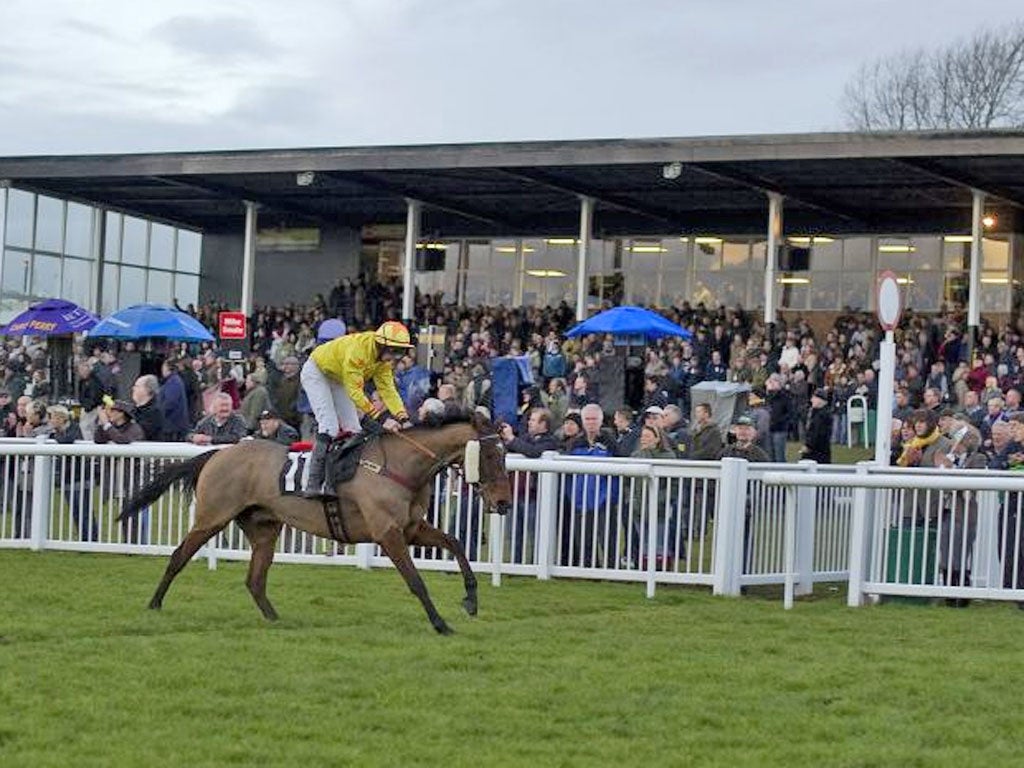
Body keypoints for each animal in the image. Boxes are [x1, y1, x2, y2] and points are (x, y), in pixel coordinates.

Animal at [119, 415, 512, 638]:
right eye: (492, 455)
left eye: (506, 454)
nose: (505, 503)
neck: (400, 466)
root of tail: (219, 453)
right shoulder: (387, 533)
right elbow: (415, 581)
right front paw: (440, 624)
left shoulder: (412, 528)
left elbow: (456, 543)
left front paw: (471, 600)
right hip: (212, 517)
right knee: (178, 556)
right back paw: (154, 604)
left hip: (264, 528)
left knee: (255, 580)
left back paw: (276, 620)